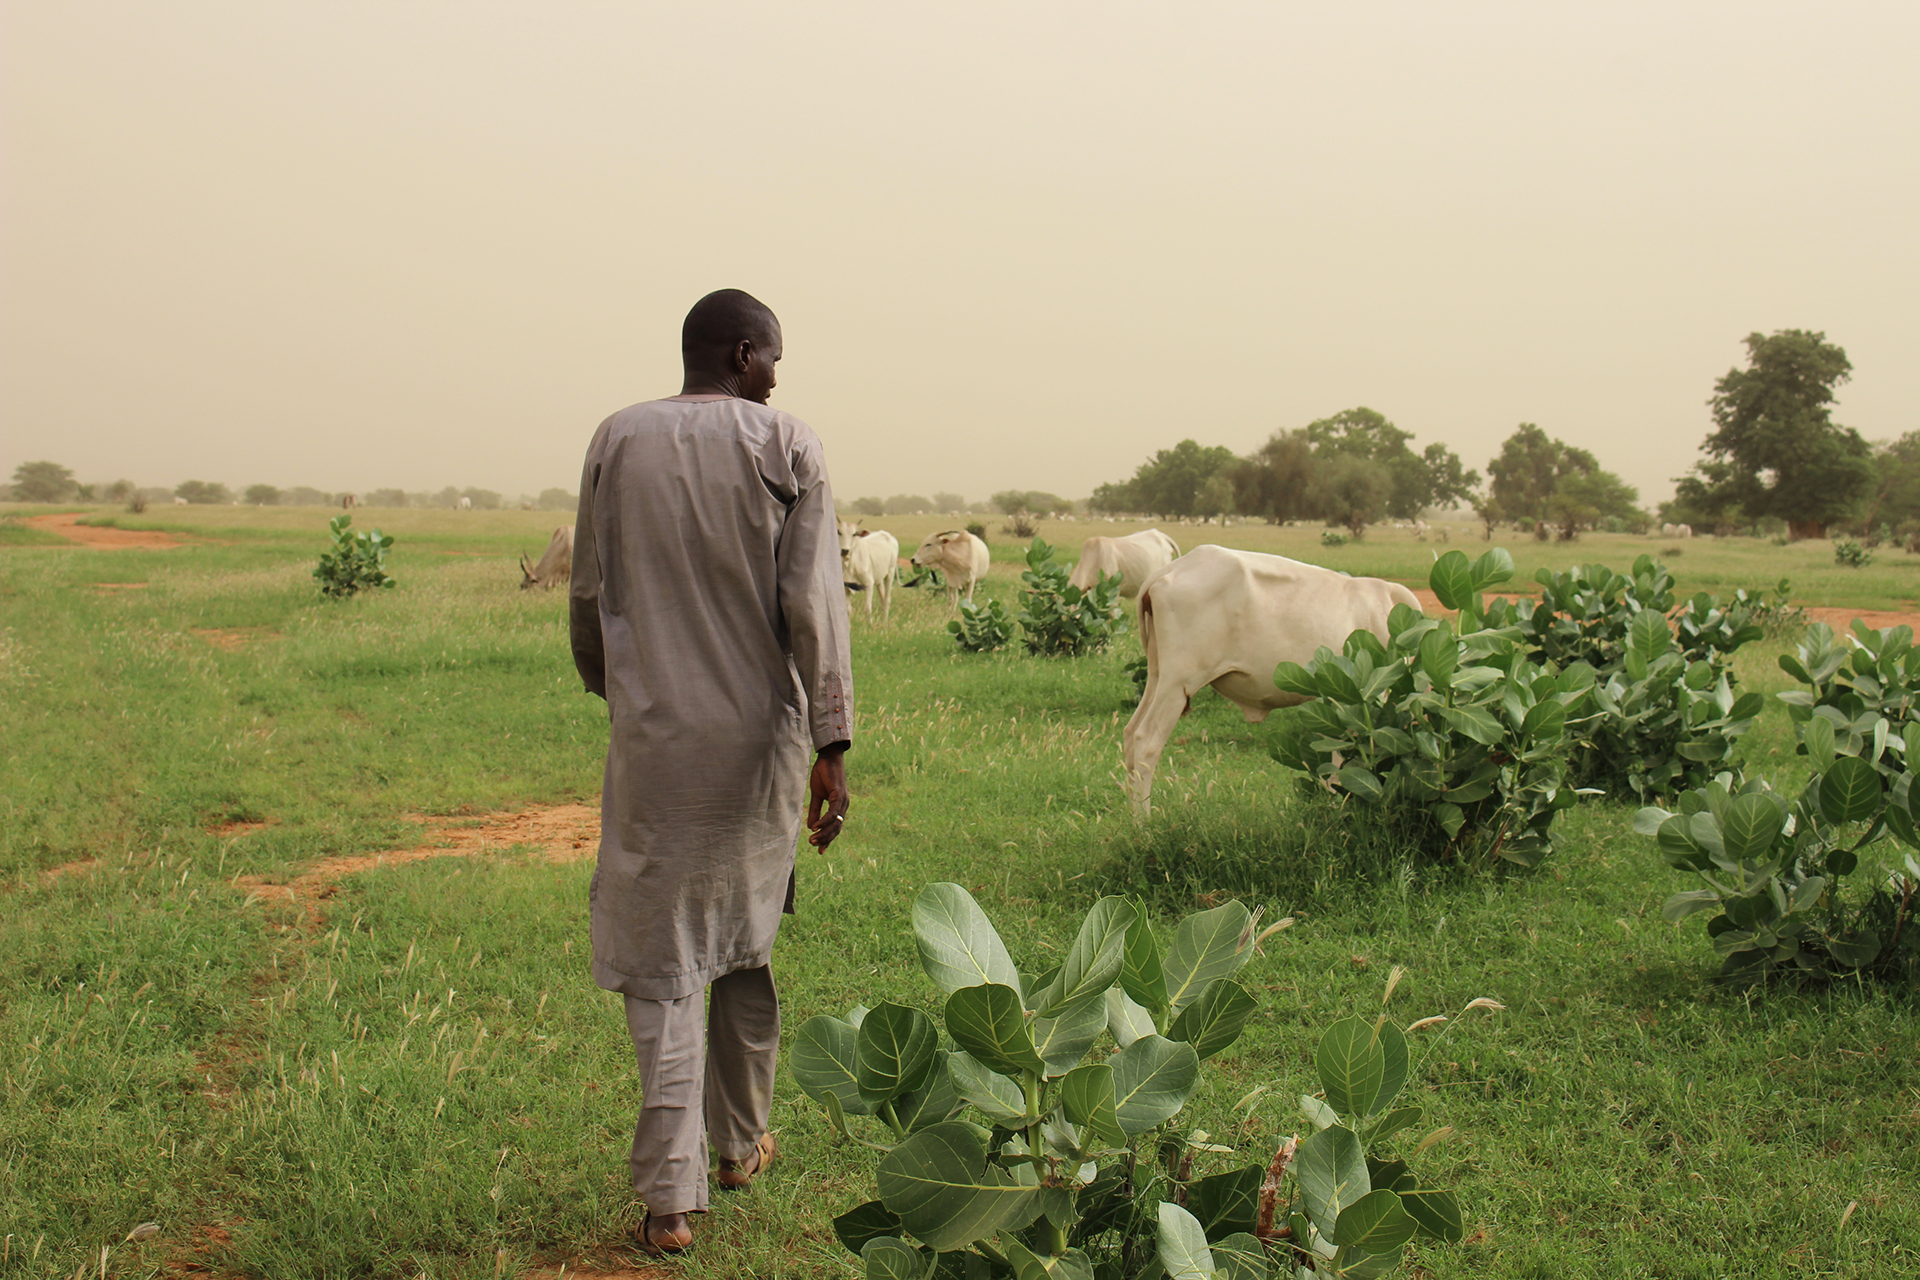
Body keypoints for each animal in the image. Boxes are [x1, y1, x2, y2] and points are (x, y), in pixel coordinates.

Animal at [1121, 545, 1428, 817]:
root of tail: (1166, 572)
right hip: (1178, 683)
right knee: (1147, 742)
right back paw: (1145, 825)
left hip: (1159, 677)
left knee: (1131, 735)